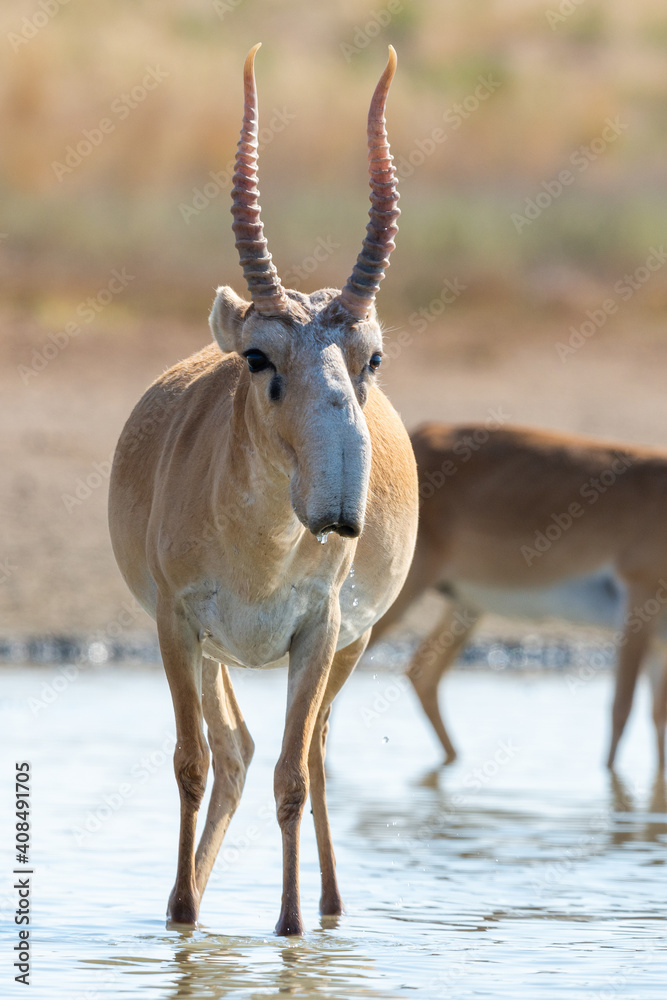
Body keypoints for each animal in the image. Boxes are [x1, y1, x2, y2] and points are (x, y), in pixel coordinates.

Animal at [109, 45, 418, 936]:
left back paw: (331, 908)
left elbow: (292, 775)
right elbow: (190, 762)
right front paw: (182, 917)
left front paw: (289, 929)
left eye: (371, 357)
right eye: (257, 355)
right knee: (235, 749)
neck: (262, 550)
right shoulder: (176, 625)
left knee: (305, 750)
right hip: (214, 652)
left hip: (349, 645)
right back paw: (192, 902)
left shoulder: (318, 632)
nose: (339, 499)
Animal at [374, 422, 667, 772]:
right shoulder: (638, 601)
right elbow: (622, 709)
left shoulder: (660, 638)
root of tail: (418, 432)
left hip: (466, 607)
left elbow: (657, 716)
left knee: (422, 673)